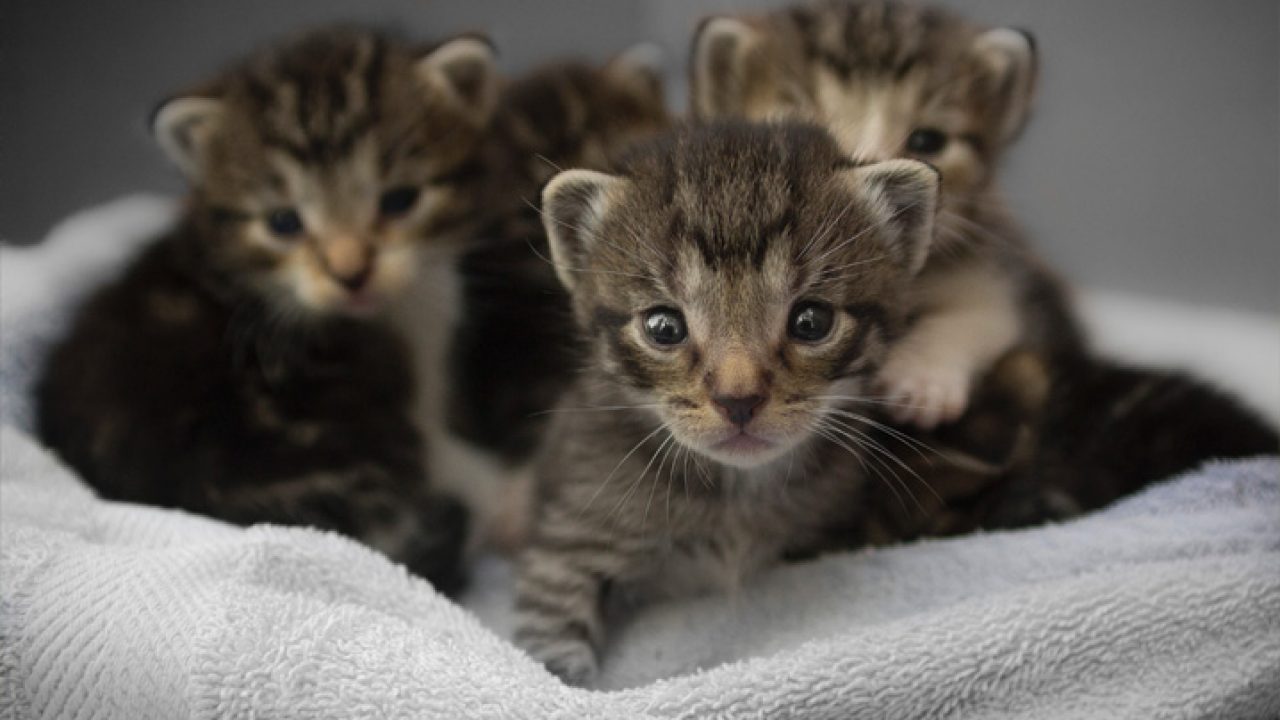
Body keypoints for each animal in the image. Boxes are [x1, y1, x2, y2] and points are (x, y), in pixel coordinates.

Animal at [514, 120, 947, 681]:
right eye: (664, 327)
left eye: (812, 322)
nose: (738, 399)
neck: (736, 496)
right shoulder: (570, 542)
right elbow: (551, 652)